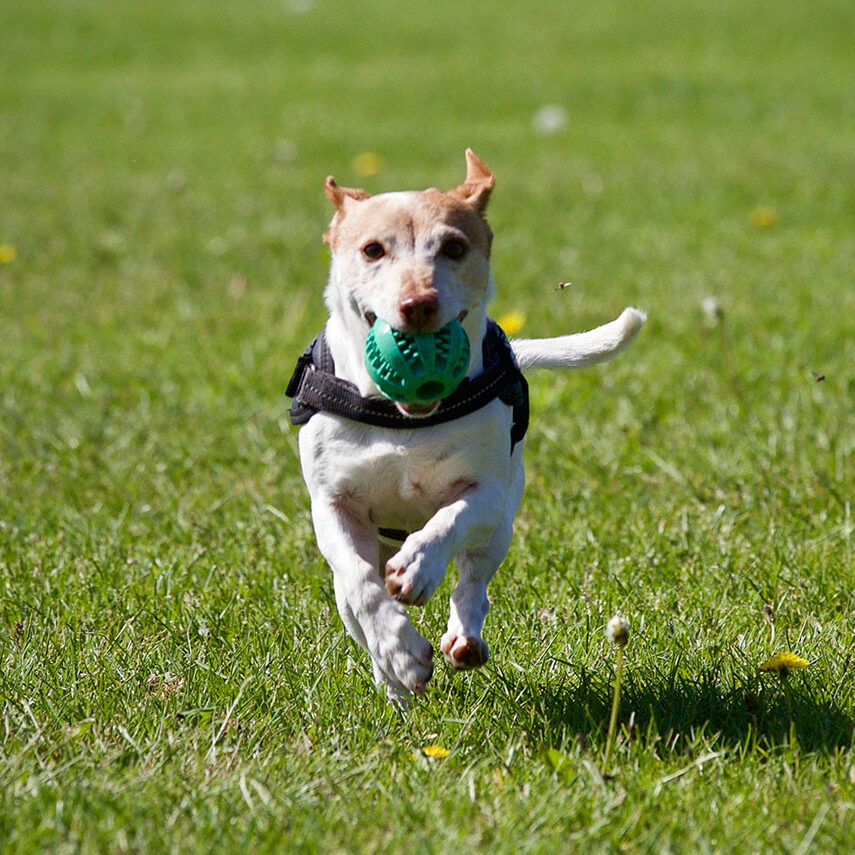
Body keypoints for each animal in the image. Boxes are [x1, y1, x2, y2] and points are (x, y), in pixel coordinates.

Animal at [290, 152, 644, 704]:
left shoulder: (487, 493)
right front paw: (401, 652)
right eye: (372, 250)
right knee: (356, 605)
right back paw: (394, 686)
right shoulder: (333, 506)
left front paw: (418, 566)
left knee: (474, 579)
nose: (418, 304)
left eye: (454, 247)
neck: (403, 420)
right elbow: (363, 586)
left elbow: (449, 521)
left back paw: (463, 636)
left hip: (501, 526)